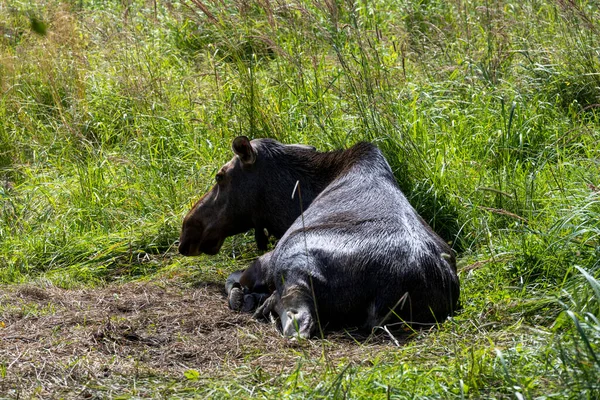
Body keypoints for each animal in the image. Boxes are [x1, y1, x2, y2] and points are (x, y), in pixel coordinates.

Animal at [178, 138, 460, 338]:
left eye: (220, 176)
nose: (186, 232)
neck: (290, 206)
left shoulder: (268, 258)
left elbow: (232, 277)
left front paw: (244, 296)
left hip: (292, 260)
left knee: (298, 321)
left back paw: (264, 303)